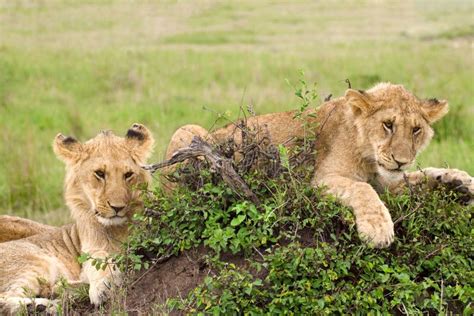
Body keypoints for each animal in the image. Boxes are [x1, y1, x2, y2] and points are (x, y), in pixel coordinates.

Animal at [0, 123, 153, 314]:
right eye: (100, 173)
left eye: (128, 175)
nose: (117, 207)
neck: (116, 228)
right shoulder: (88, 254)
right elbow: (101, 260)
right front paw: (103, 287)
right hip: (36, 262)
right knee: (5, 298)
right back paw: (42, 305)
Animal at [165, 82, 472, 248]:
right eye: (388, 125)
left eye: (416, 130)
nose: (401, 160)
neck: (371, 159)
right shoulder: (322, 179)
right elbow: (363, 190)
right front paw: (377, 230)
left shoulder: (389, 184)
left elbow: (424, 174)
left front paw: (460, 181)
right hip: (188, 131)